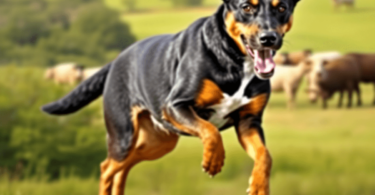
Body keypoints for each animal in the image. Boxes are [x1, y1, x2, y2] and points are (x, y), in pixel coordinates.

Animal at [43, 0, 302, 194]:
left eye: (281, 8)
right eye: (247, 7)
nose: (268, 38)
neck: (235, 62)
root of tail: (116, 60)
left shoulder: (249, 122)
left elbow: (264, 155)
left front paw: (259, 186)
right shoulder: (176, 105)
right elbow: (211, 130)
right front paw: (213, 161)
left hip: (158, 142)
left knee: (124, 167)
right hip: (123, 134)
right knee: (107, 167)